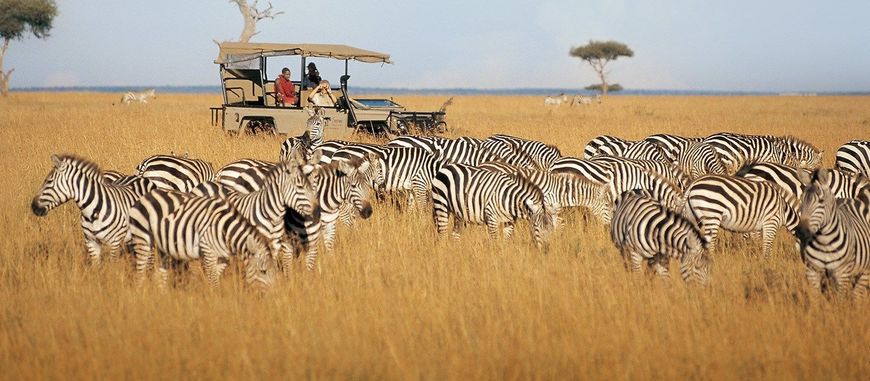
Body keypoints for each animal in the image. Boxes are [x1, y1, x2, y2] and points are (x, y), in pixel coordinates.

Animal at [127, 189, 278, 290]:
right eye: (263, 271)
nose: (273, 296)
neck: (225, 230)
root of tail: (145, 196)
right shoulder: (208, 251)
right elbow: (213, 281)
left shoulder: (223, 258)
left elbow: (215, 278)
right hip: (142, 239)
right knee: (140, 273)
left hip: (163, 247)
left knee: (161, 274)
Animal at [430, 163, 560, 246]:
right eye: (536, 227)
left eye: (552, 228)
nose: (546, 249)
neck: (509, 198)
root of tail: (446, 167)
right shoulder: (492, 218)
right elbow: (495, 242)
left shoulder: (509, 222)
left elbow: (506, 241)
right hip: (441, 205)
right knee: (442, 234)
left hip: (459, 212)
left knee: (455, 234)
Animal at [796, 168, 870, 296]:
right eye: (801, 200)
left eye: (821, 201)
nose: (800, 232)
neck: (824, 241)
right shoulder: (812, 271)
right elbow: (816, 299)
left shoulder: (842, 275)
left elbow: (839, 299)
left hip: (864, 272)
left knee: (856, 294)